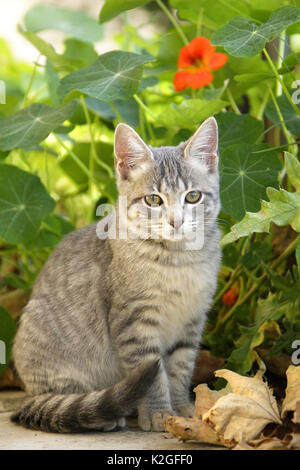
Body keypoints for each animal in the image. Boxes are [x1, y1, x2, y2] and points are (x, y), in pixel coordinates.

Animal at [11, 116, 220, 434]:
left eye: (193, 196)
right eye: (153, 200)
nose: (177, 221)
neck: (179, 261)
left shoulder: (192, 320)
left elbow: (181, 367)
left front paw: (182, 407)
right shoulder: (134, 322)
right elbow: (154, 375)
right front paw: (159, 412)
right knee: (62, 397)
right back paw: (100, 413)